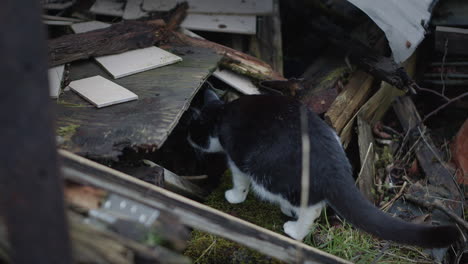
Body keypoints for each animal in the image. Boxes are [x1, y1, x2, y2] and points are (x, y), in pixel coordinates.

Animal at [186, 89, 458, 248]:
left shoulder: (237, 159)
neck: (223, 113)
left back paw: (294, 229)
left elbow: (239, 181)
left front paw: (233, 196)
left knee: (311, 210)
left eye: (194, 130)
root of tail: (336, 169)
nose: (187, 137)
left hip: (270, 174)